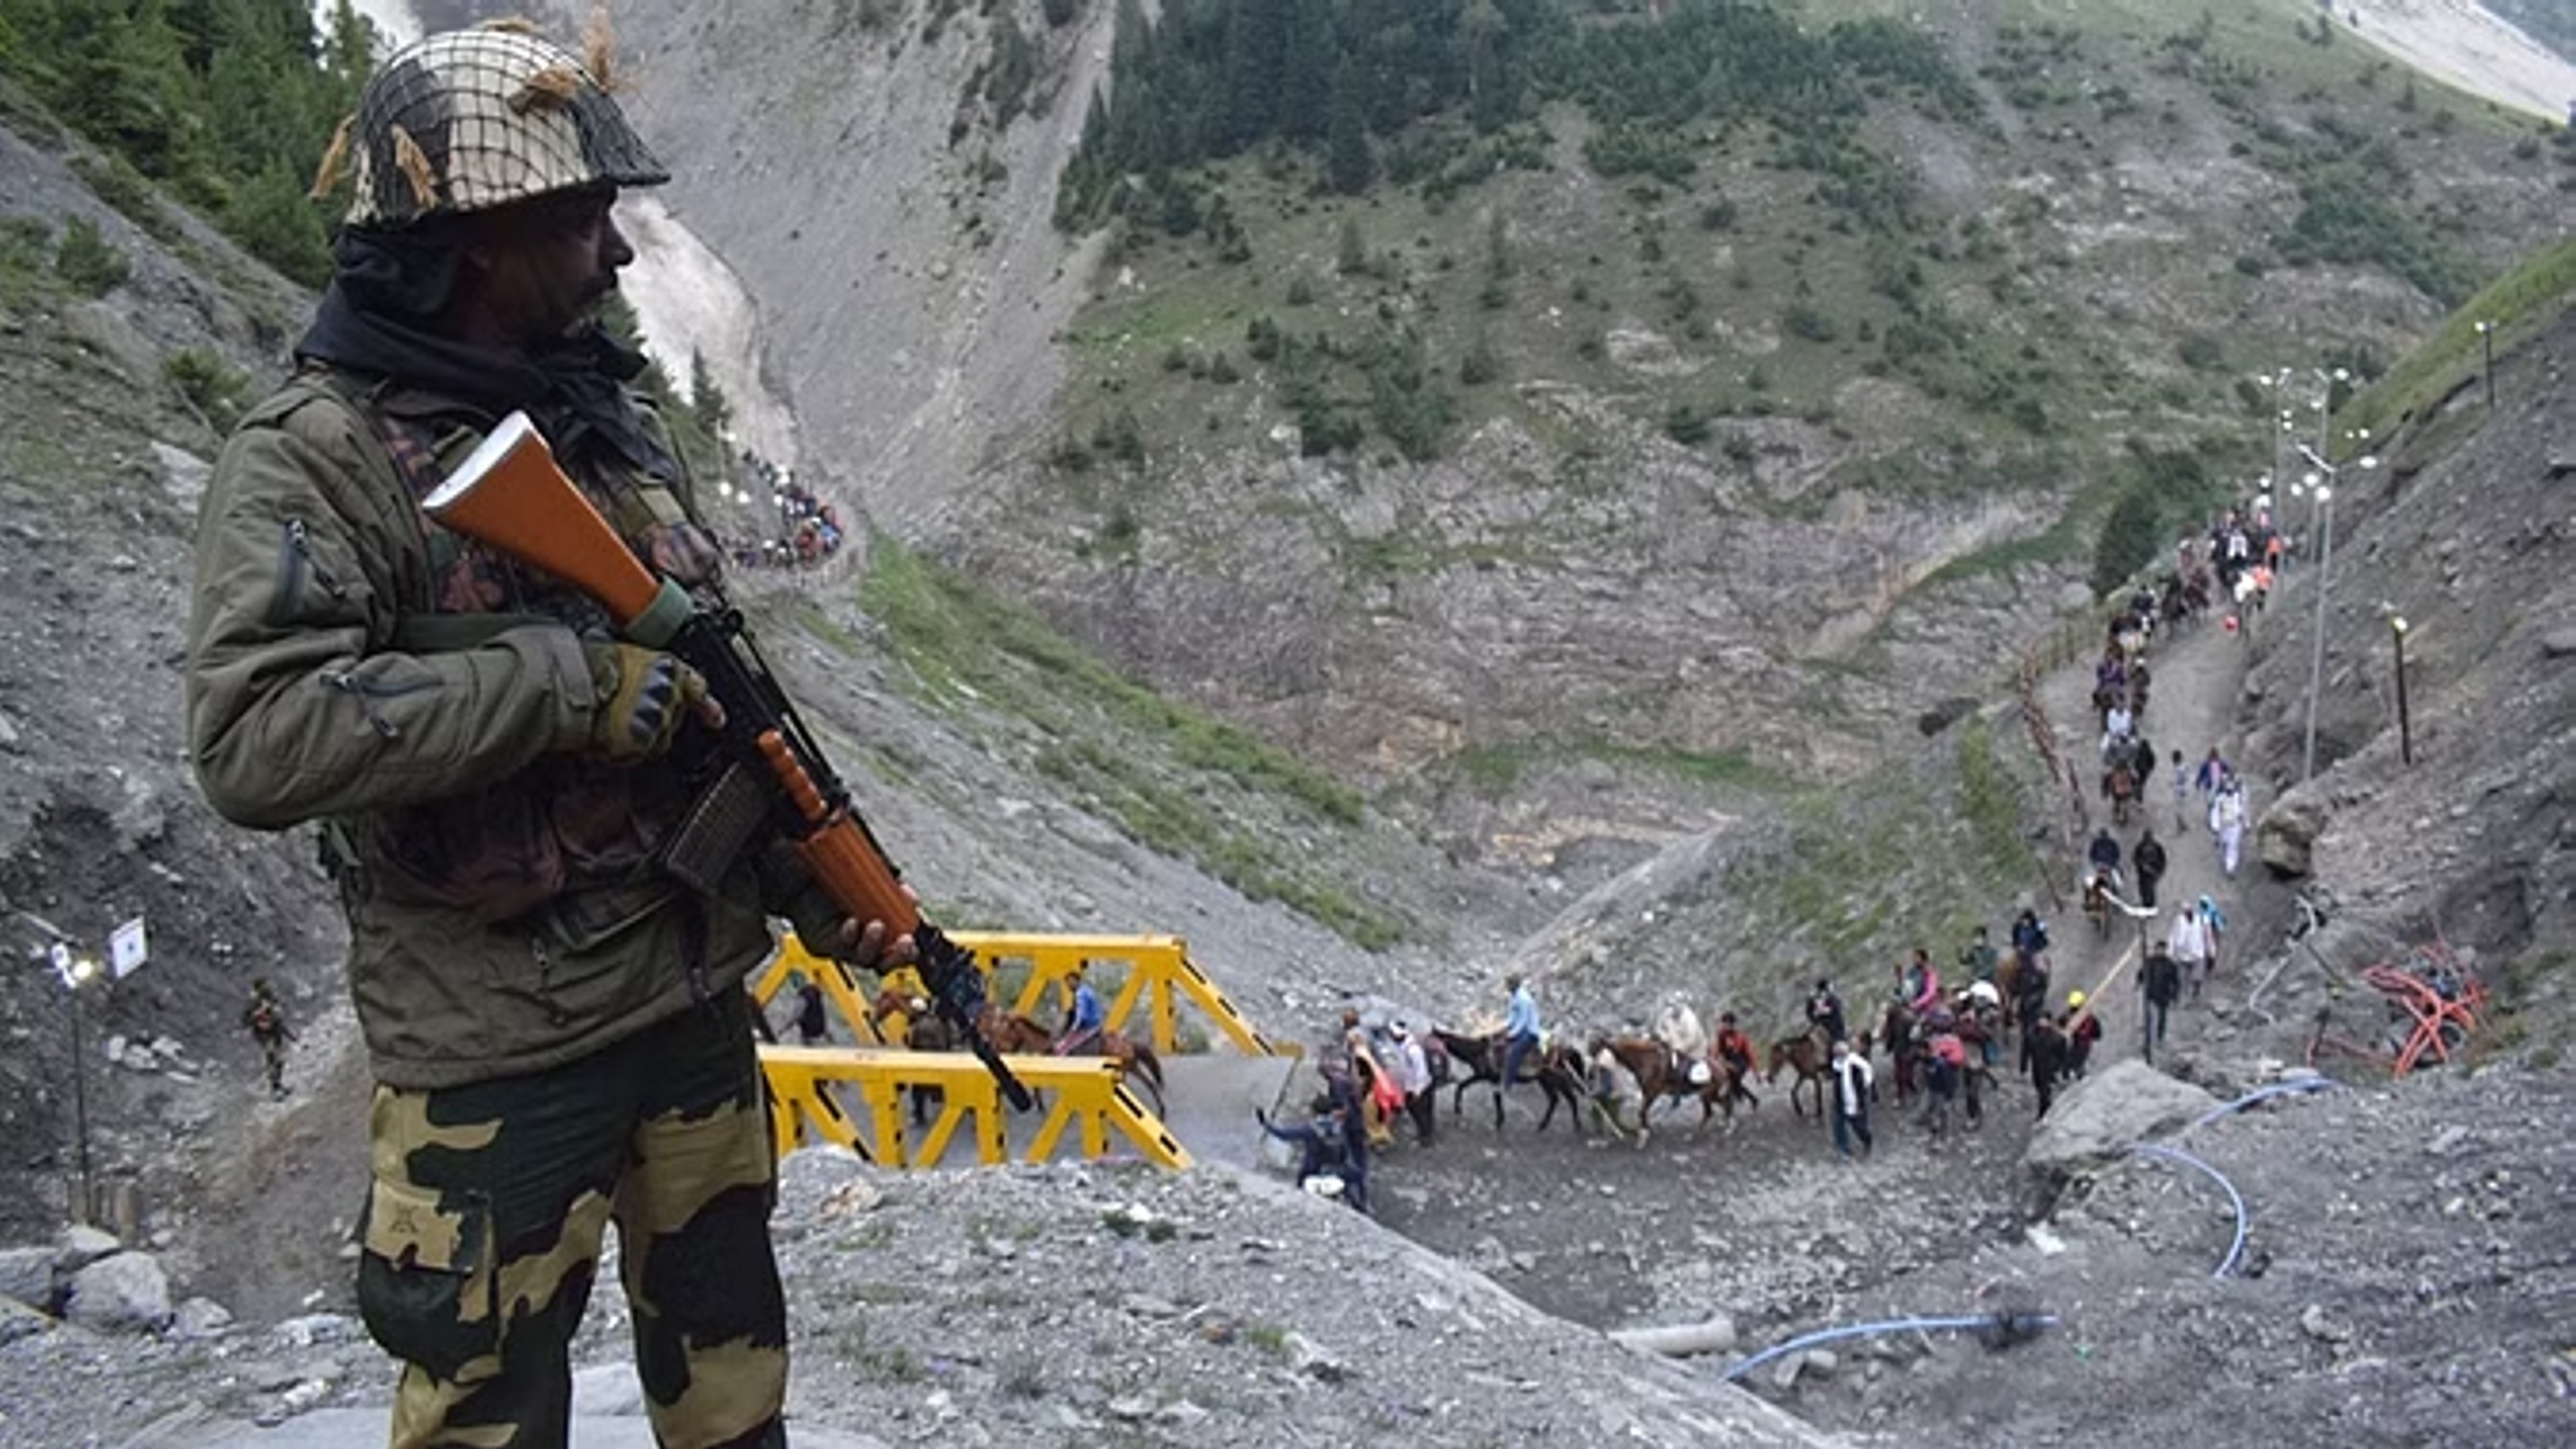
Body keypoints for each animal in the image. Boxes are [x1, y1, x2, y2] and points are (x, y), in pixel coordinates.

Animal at [1432, 1026, 1586, 1129]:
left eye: (1432, 1037)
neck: (1478, 1050)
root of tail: (1562, 1049)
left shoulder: (1492, 1077)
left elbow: (1496, 1096)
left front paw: (1499, 1122)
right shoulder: (1482, 1076)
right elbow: (1462, 1085)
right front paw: (1458, 1110)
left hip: (1555, 1078)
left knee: (1570, 1097)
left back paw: (1577, 1125)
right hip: (1544, 1080)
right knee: (1555, 1099)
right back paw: (1542, 1126)